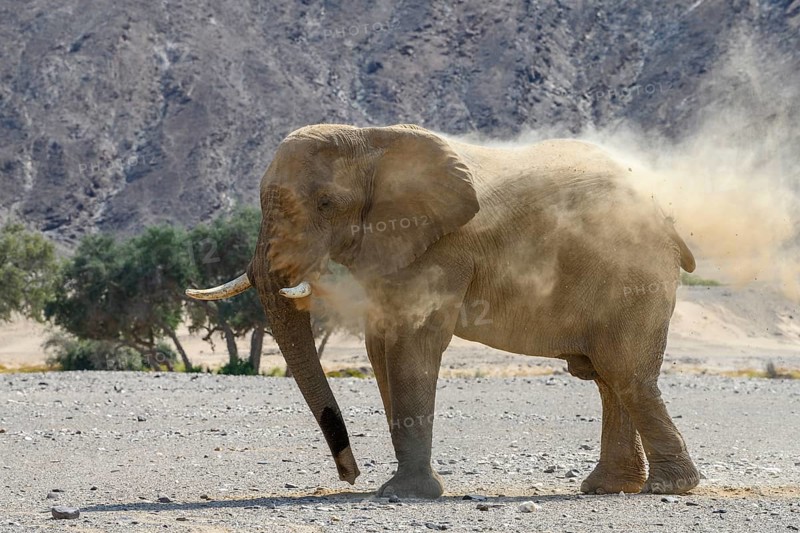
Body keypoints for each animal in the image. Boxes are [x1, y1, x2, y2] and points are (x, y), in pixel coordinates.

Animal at [186, 123, 701, 499]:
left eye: (326, 203)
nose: (349, 474)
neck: (371, 139)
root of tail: (666, 219)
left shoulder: (442, 246)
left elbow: (414, 342)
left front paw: (403, 495)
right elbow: (380, 346)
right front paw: (399, 488)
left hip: (634, 279)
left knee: (625, 374)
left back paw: (667, 487)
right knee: (609, 379)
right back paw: (607, 488)